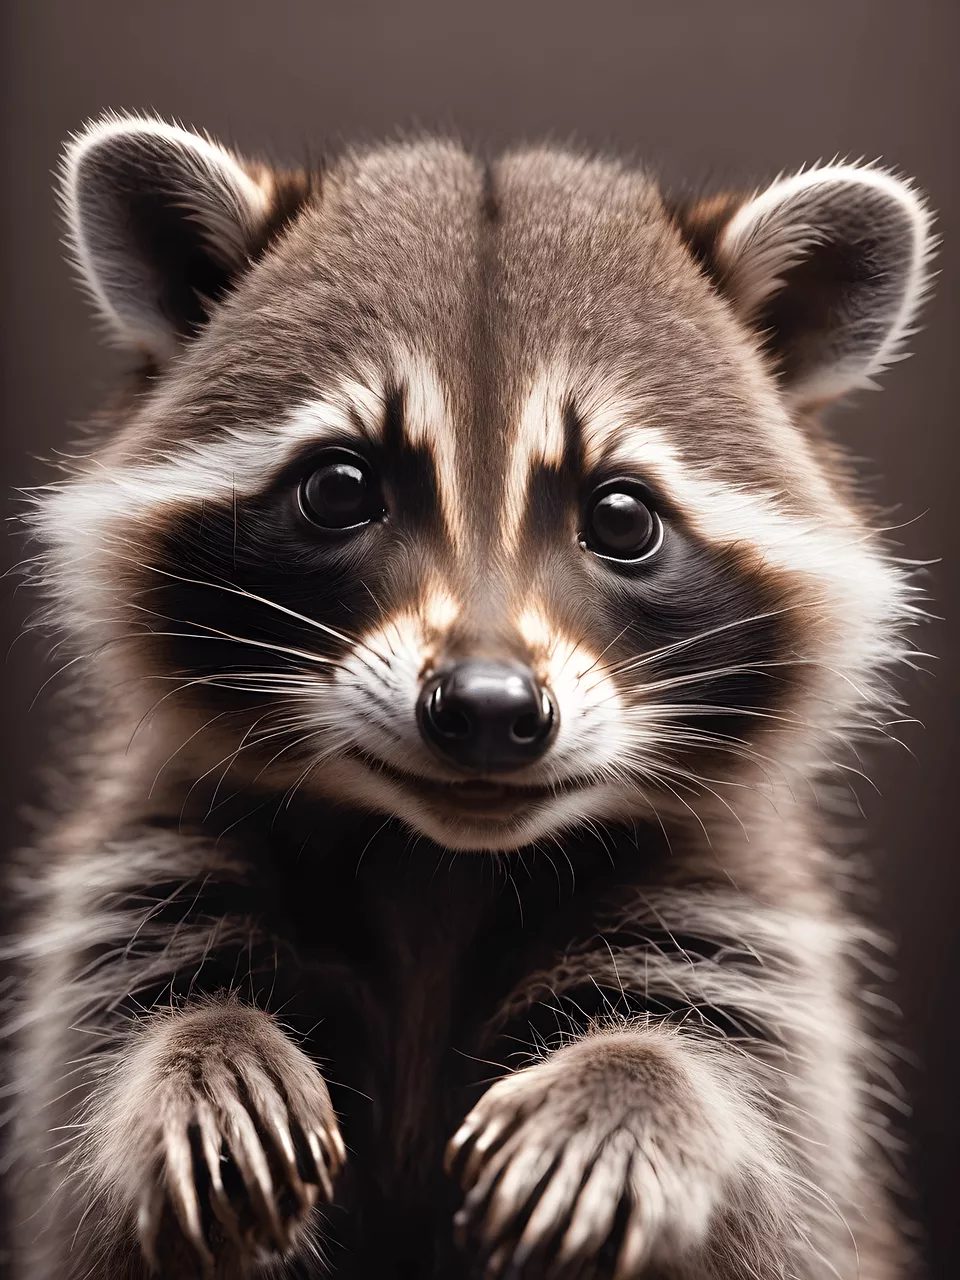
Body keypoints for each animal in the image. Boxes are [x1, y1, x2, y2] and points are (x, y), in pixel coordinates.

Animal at [3, 113, 935, 1280]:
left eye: (621, 516)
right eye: (340, 488)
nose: (489, 708)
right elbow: (113, 1050)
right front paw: (200, 1052)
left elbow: (758, 1118)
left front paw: (634, 1085)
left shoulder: (750, 920)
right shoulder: (137, 869)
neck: (441, 864)